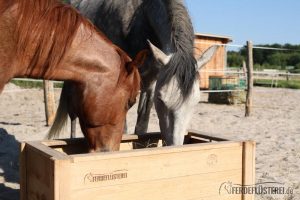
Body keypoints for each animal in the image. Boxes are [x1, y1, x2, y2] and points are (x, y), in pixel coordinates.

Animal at [62, 0, 218, 145]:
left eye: (196, 101)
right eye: (160, 99)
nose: (174, 146)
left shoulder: (150, 83)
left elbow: (142, 125)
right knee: (73, 113)